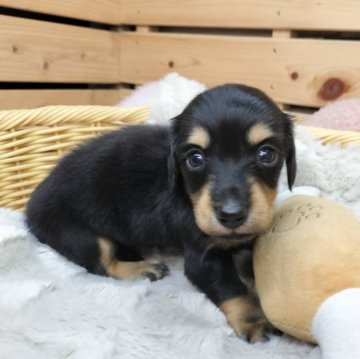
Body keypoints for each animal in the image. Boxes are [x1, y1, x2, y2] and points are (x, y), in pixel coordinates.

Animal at [26, 84, 296, 344]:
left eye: (266, 154)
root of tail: (31, 207)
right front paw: (253, 320)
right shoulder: (202, 257)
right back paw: (142, 269)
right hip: (82, 237)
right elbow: (231, 288)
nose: (231, 215)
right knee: (103, 264)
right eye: (195, 158)